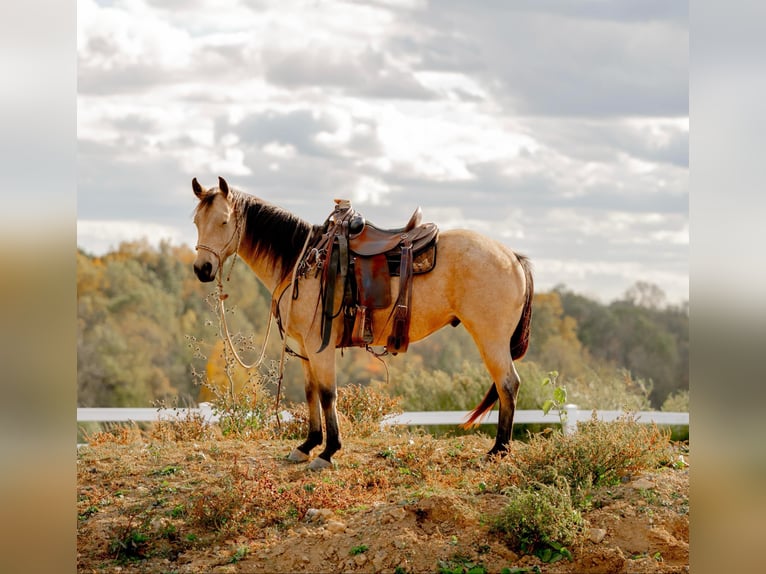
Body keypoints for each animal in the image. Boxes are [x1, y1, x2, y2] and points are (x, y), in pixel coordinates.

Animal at [192, 178, 536, 470]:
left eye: (224, 221)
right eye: (196, 221)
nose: (202, 269)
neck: (303, 262)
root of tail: (513, 257)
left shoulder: (320, 346)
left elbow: (328, 393)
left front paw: (328, 452)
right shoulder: (304, 347)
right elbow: (310, 392)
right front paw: (308, 445)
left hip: (491, 339)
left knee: (508, 384)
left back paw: (498, 450)